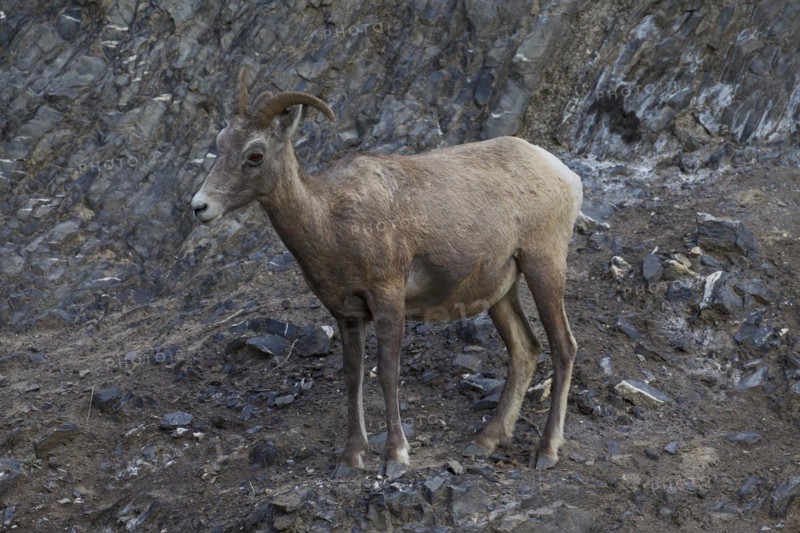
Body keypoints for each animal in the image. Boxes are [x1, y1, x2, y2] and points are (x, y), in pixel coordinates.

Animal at [190, 70, 583, 478]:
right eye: (221, 143)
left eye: (255, 155)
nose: (200, 206)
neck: (331, 221)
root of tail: (565, 176)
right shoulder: (346, 313)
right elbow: (353, 376)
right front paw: (349, 459)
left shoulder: (388, 298)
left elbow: (388, 372)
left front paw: (395, 457)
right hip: (500, 291)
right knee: (525, 349)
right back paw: (485, 441)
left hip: (544, 266)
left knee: (563, 347)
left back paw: (546, 450)